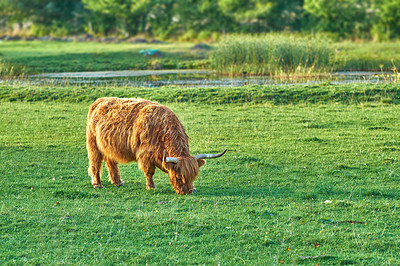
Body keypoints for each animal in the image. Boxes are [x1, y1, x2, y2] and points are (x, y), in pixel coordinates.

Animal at [86, 96, 227, 194]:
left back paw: (117, 182)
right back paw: (97, 184)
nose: (187, 192)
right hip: (93, 145)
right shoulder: (145, 155)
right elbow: (149, 172)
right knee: (95, 164)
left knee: (111, 162)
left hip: (108, 146)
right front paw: (151, 187)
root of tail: (99, 101)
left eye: (193, 176)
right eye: (179, 176)